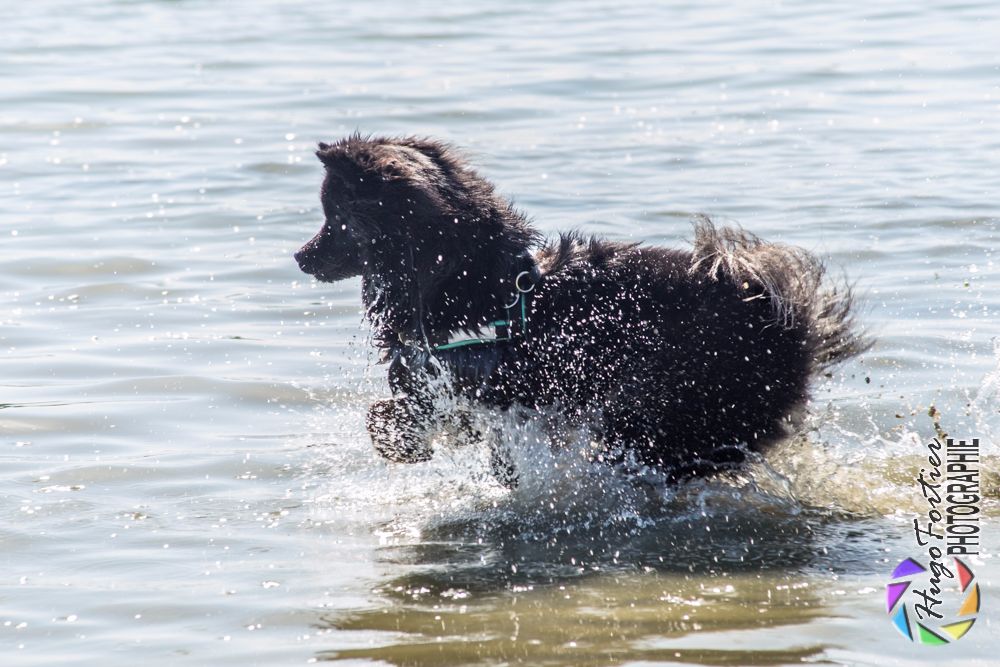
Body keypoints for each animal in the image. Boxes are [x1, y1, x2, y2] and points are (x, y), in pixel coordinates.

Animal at [296, 136, 868, 486]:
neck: (469, 283)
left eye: (334, 219)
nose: (299, 257)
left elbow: (392, 416)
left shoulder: (465, 385)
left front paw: (401, 445)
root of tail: (785, 320)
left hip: (663, 410)